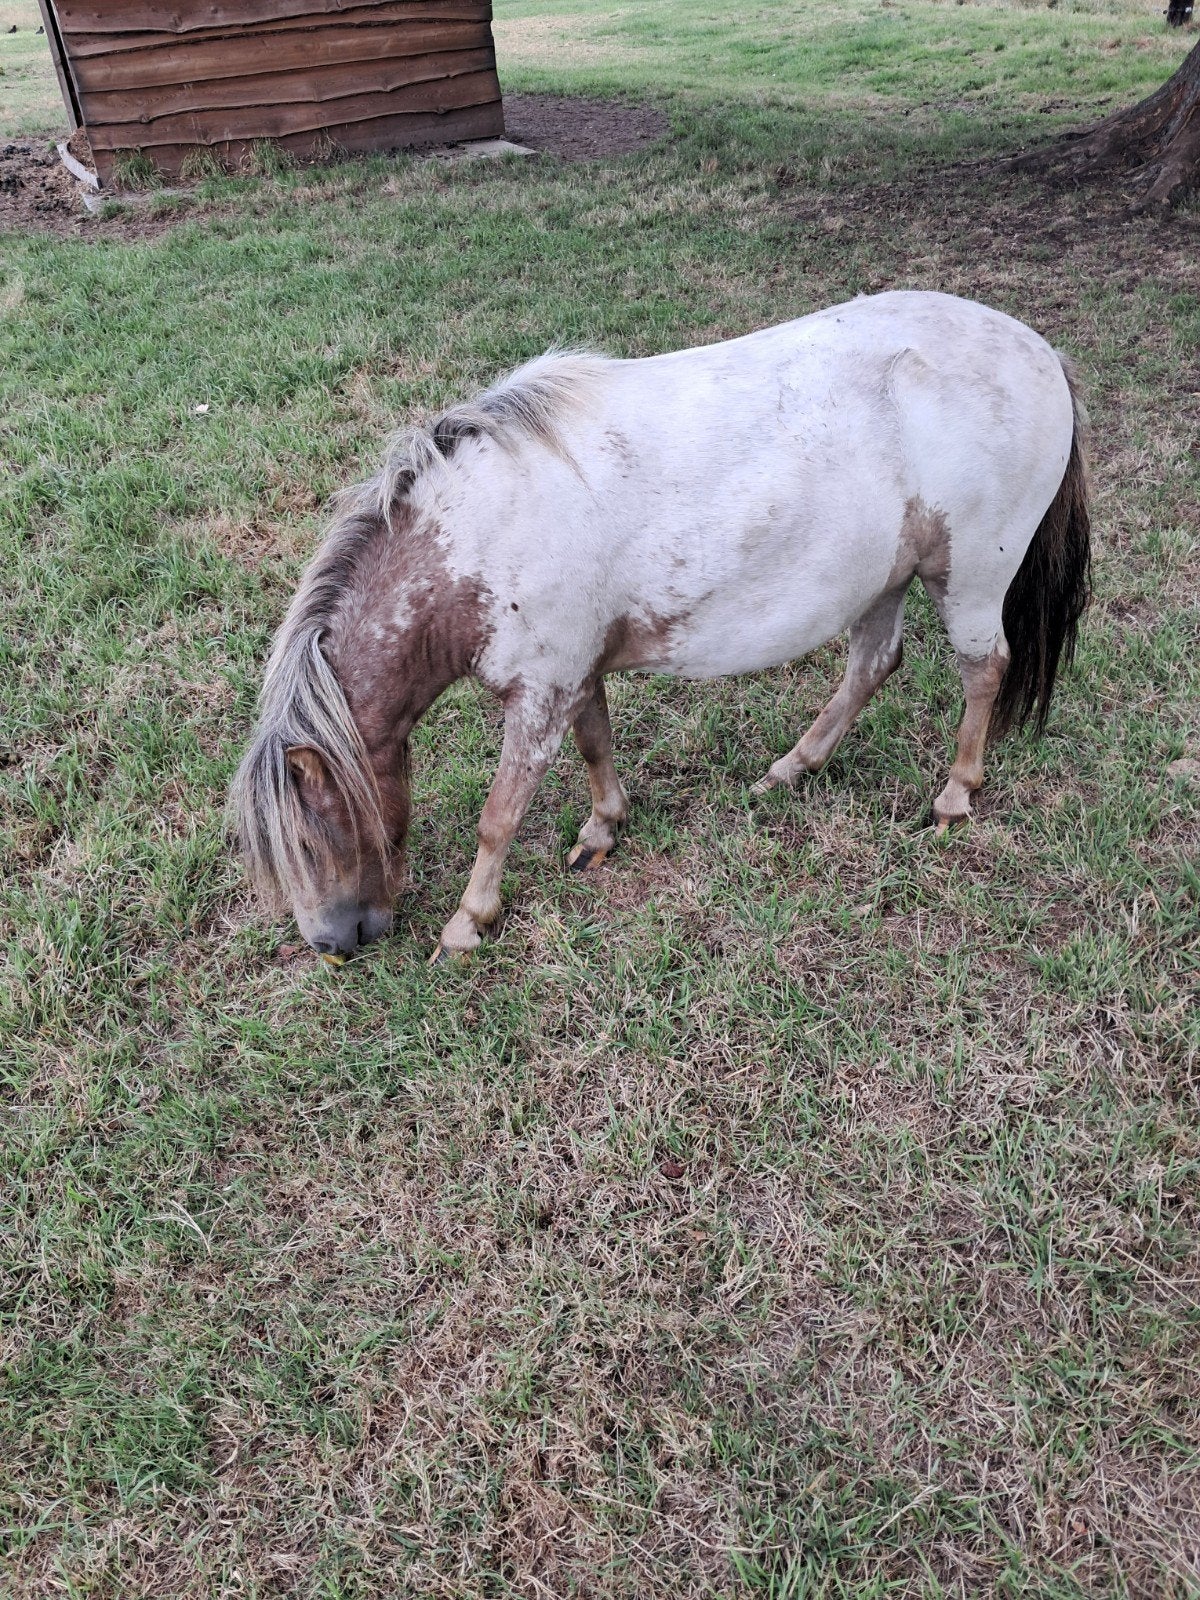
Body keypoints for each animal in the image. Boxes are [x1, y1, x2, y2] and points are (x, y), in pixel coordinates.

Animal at [229, 290, 1091, 964]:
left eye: (310, 840)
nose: (332, 944)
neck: (480, 529)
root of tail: (1040, 353)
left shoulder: (539, 692)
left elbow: (498, 816)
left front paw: (468, 923)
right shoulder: (574, 673)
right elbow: (596, 746)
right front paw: (602, 829)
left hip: (970, 577)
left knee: (983, 670)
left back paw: (954, 796)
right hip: (882, 577)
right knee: (872, 666)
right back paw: (791, 768)